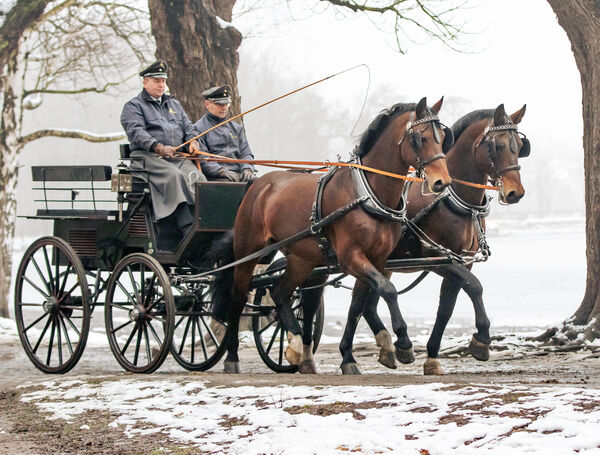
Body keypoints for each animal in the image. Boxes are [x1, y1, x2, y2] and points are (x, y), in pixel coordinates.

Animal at [213, 96, 452, 374]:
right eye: (420, 138)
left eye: (442, 137)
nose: (442, 182)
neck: (367, 193)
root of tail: (258, 183)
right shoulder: (350, 257)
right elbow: (389, 289)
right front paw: (402, 343)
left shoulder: (377, 259)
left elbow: (356, 306)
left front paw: (348, 357)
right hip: (248, 252)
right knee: (238, 298)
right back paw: (232, 357)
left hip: (302, 259)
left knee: (280, 292)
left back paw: (297, 347)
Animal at [338, 103, 528, 374]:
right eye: (498, 146)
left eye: (520, 147)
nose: (515, 193)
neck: (451, 199)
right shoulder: (438, 259)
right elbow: (474, 286)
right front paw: (481, 339)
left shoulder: (460, 261)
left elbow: (446, 309)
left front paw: (432, 356)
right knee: (358, 303)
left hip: (380, 263)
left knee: (365, 304)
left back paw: (385, 348)